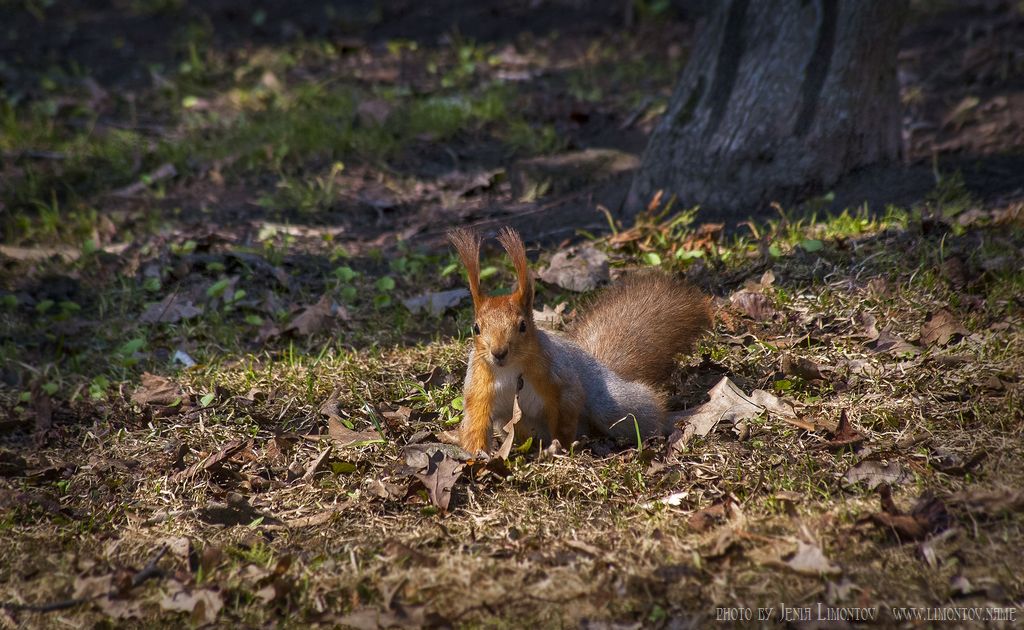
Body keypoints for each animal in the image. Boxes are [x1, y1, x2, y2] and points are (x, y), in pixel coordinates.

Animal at [448, 226, 712, 452]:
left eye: (523, 325)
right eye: (476, 328)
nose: (499, 352)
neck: (509, 370)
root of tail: (605, 367)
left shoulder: (560, 379)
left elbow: (566, 413)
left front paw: (561, 447)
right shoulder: (479, 387)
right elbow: (476, 422)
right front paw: (477, 455)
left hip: (610, 404)